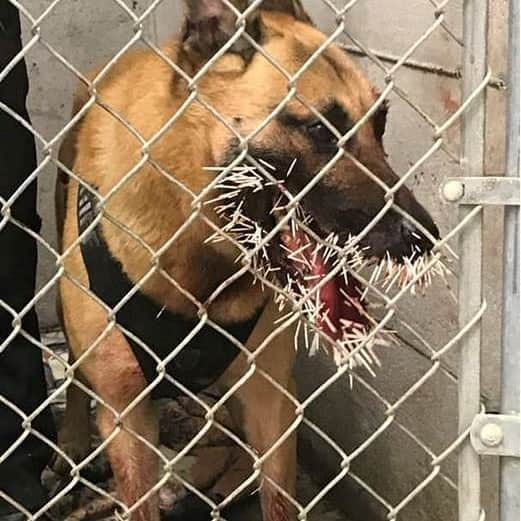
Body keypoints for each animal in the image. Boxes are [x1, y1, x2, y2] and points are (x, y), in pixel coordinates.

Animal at [57, 1, 438, 520]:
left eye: (380, 124)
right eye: (321, 130)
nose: (425, 238)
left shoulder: (270, 398)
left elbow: (277, 497)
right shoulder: (127, 417)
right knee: (77, 374)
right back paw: (73, 440)